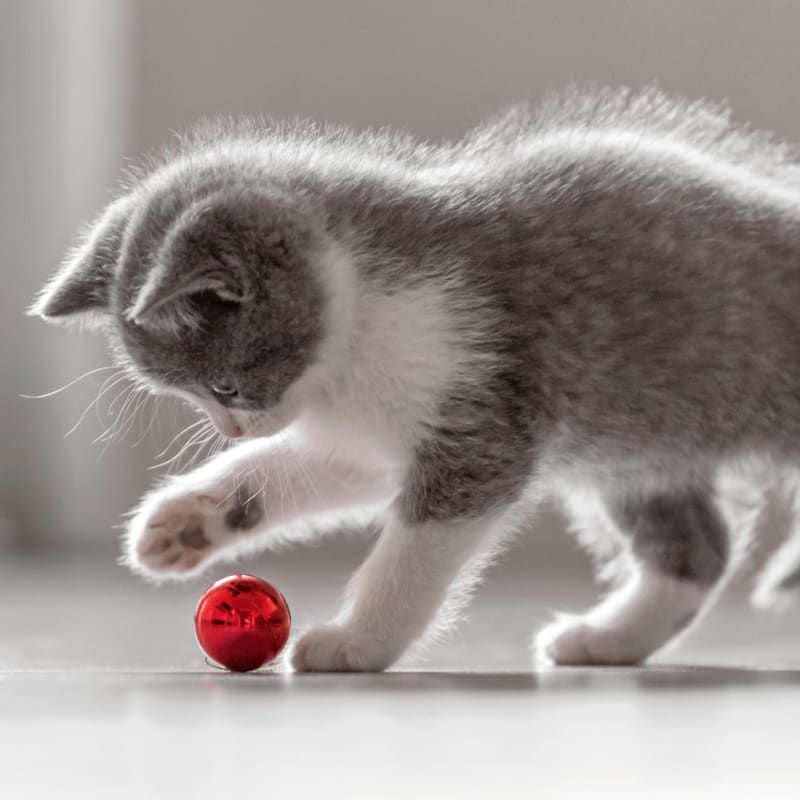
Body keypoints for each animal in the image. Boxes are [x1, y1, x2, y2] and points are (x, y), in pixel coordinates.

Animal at [31, 89, 800, 668]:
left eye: (222, 387)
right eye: (195, 396)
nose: (230, 427)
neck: (357, 327)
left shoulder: (480, 410)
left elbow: (417, 547)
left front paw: (358, 640)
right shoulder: (370, 438)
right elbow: (299, 469)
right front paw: (191, 518)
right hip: (637, 441)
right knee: (700, 546)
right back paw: (608, 638)